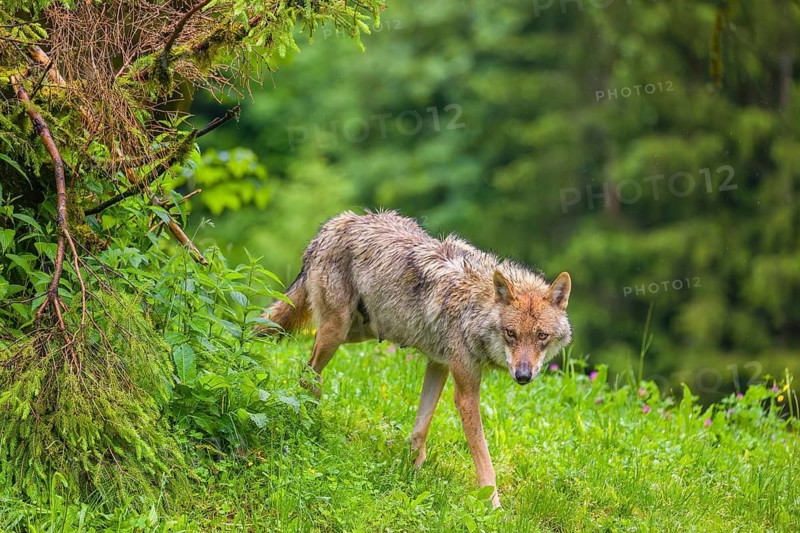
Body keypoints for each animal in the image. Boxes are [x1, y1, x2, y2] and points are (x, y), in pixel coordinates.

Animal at [259, 210, 572, 507]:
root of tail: (337, 223)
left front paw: (414, 471)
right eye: (511, 334)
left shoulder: (439, 365)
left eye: (541, 336)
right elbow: (484, 459)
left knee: (298, 355)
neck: (476, 308)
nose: (523, 376)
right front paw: (493, 507)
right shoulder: (466, 393)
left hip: (355, 333)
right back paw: (309, 415)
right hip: (336, 332)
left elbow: (421, 428)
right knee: (308, 369)